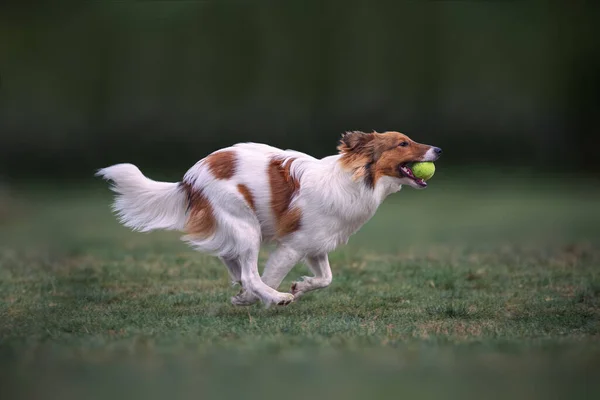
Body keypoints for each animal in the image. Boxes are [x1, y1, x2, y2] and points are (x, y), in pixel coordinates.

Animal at [95, 131, 440, 306]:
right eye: (403, 143)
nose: (438, 149)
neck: (354, 180)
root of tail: (190, 177)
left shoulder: (315, 245)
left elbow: (327, 278)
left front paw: (301, 286)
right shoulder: (292, 246)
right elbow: (269, 276)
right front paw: (257, 298)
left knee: (230, 258)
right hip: (247, 226)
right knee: (249, 272)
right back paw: (269, 297)